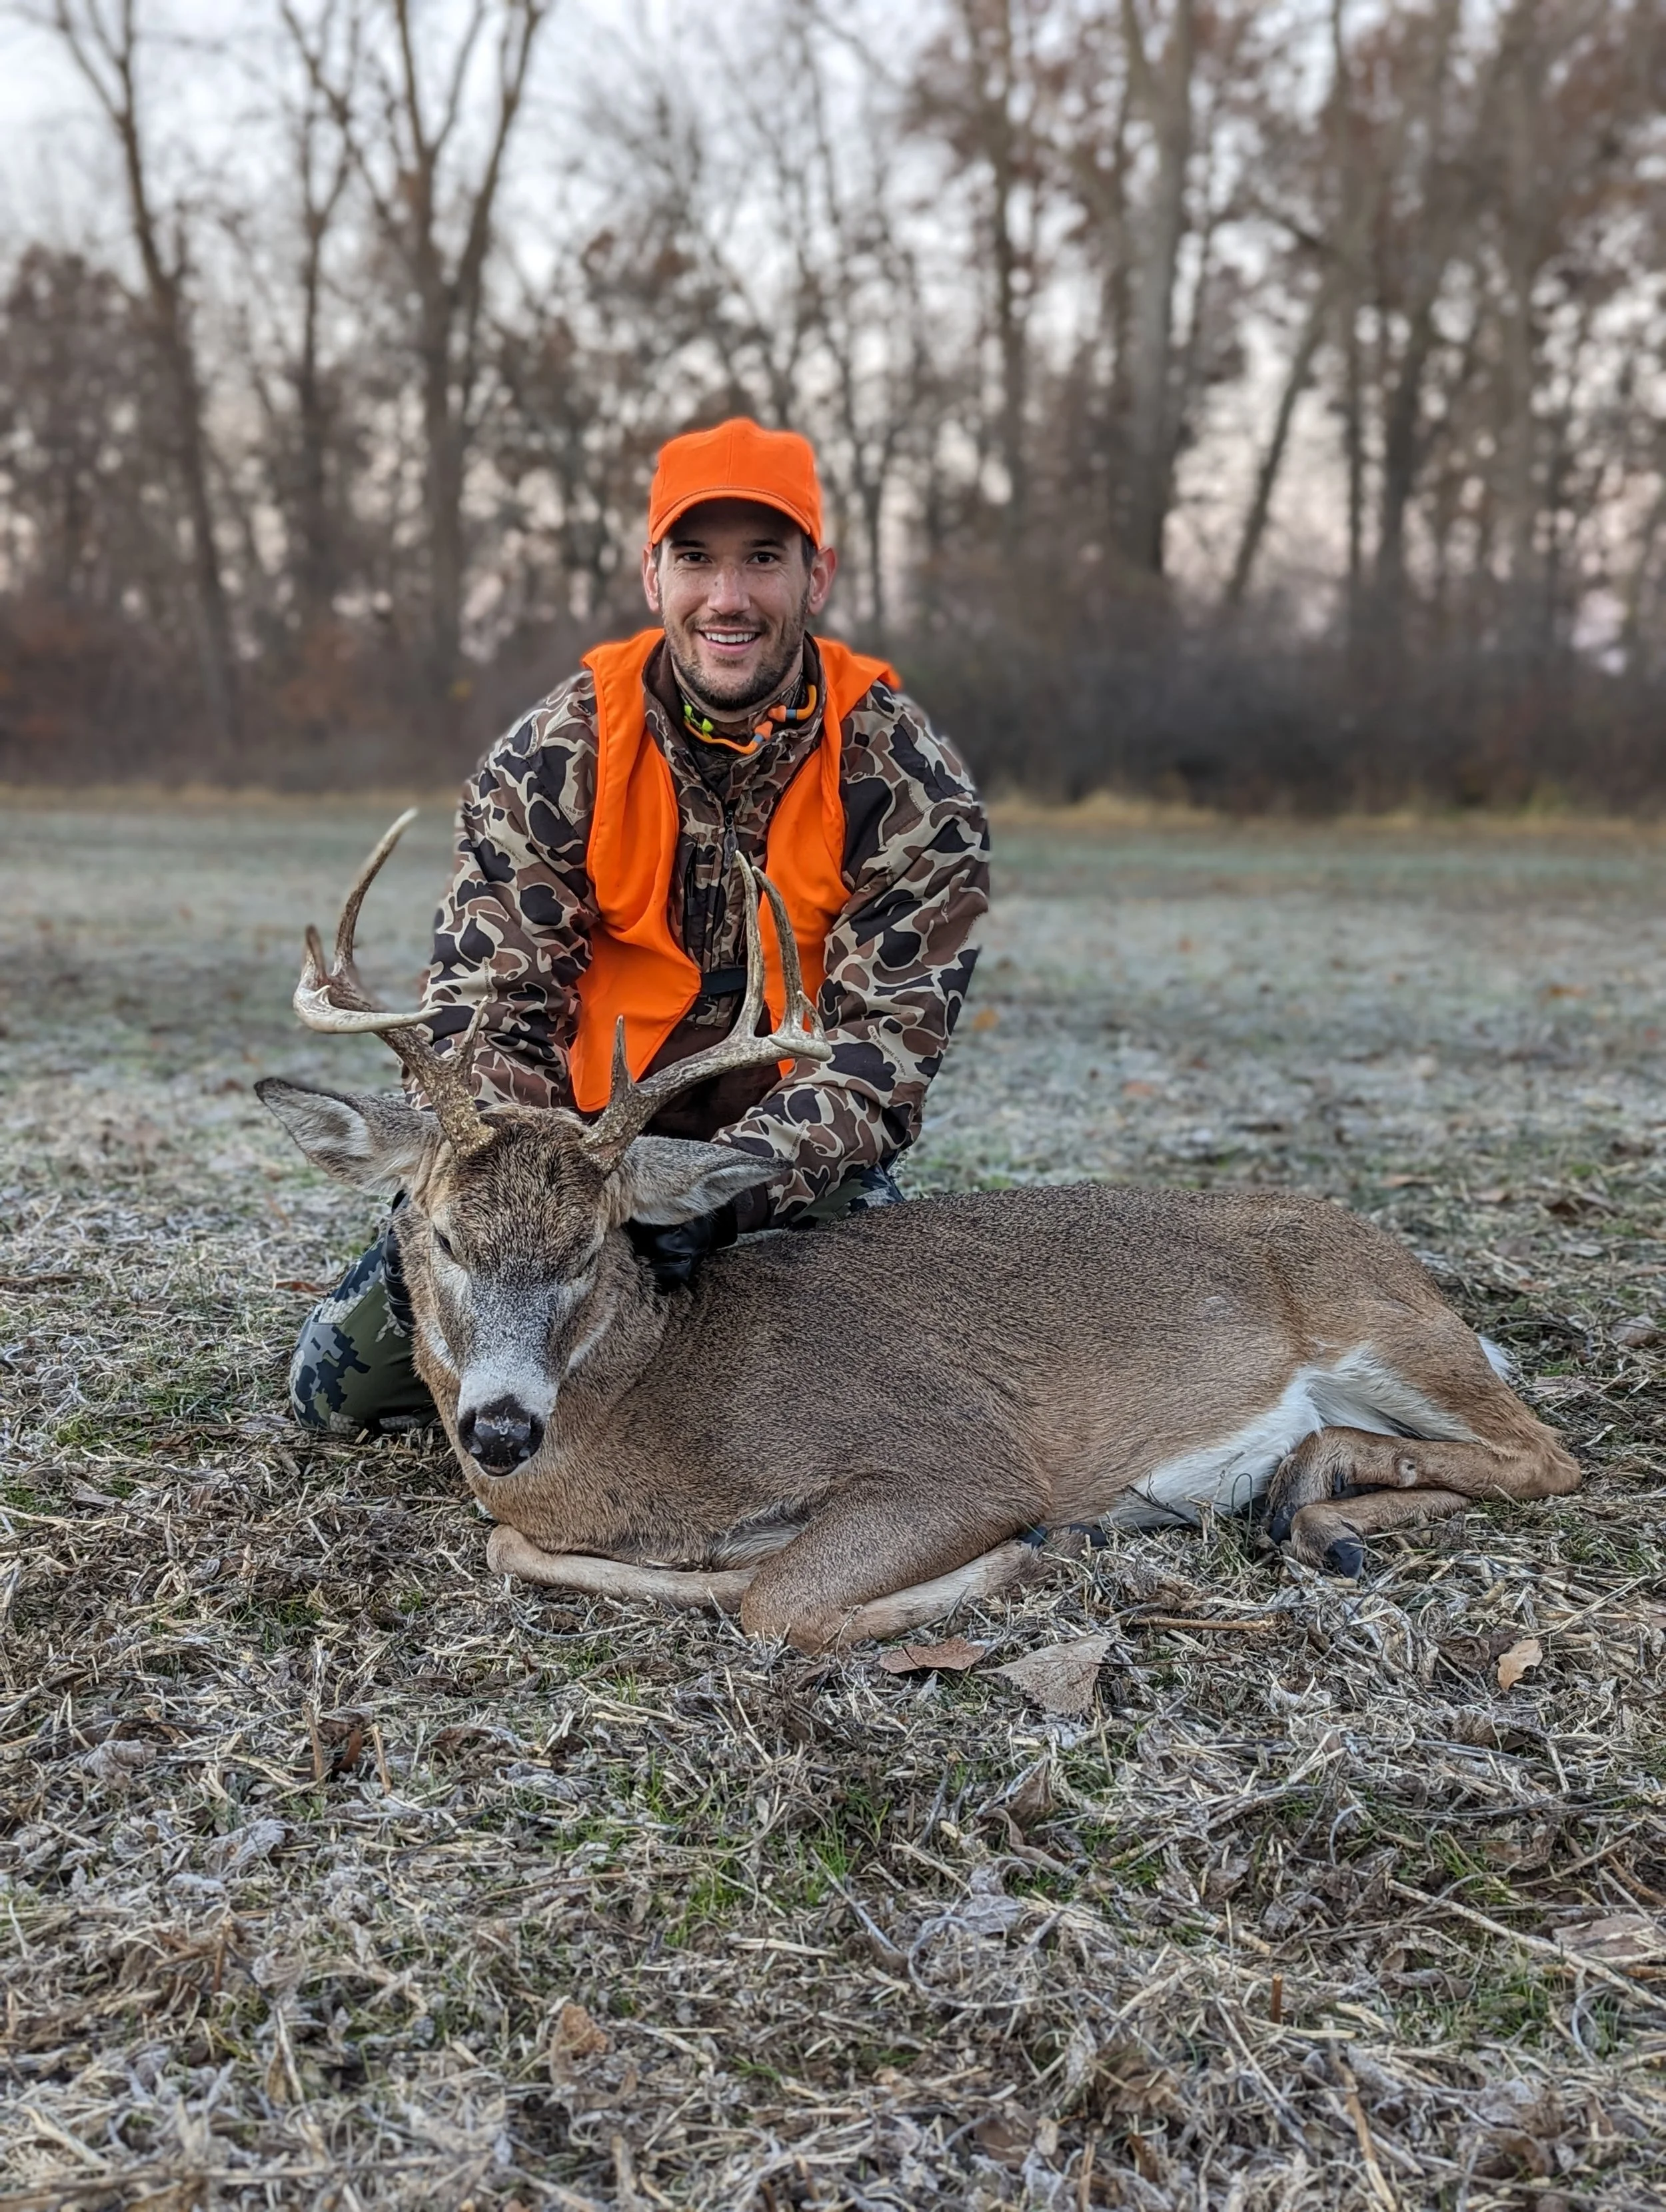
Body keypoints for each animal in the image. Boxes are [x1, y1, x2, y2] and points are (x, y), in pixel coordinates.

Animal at [256, 814, 1582, 1652]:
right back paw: (1315, 1503)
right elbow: (518, 1550)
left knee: (1549, 1457)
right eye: (435, 1233)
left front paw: (1030, 1553)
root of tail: (1403, 1258)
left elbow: (775, 1603)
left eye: (596, 1246)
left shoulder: (957, 1458)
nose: (500, 1428)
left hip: (1385, 1329)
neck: (656, 1414)